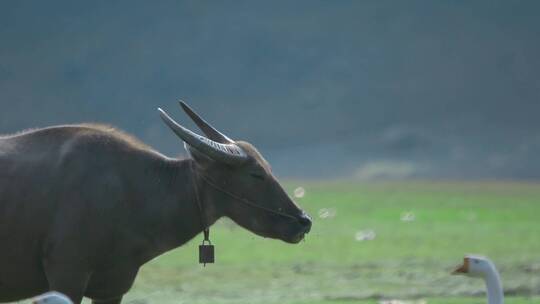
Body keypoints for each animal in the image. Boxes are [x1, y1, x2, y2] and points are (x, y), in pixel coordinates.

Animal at [0, 101, 312, 302]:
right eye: (256, 174)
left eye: (268, 167)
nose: (304, 221)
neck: (132, 191)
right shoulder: (67, 275)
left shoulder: (114, 287)